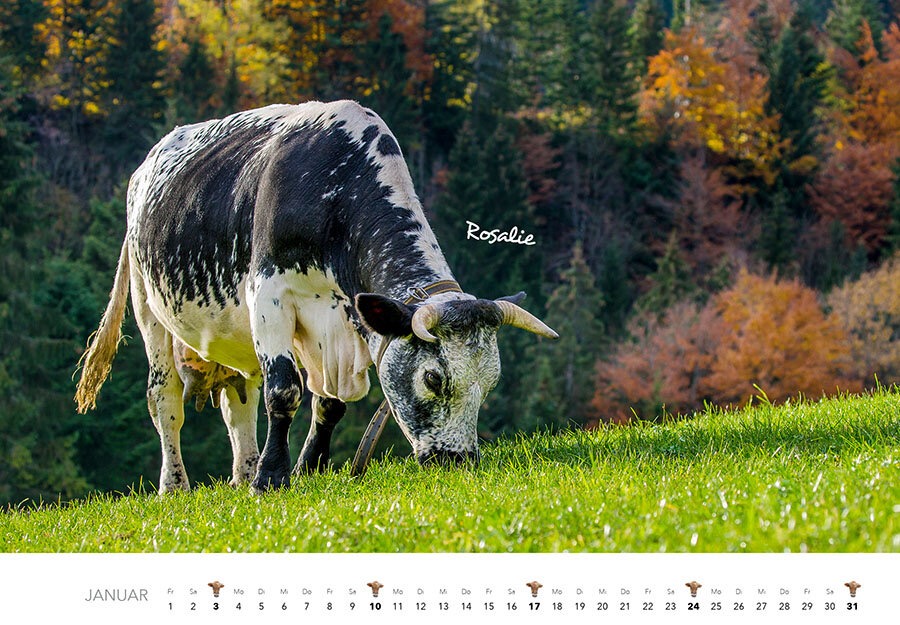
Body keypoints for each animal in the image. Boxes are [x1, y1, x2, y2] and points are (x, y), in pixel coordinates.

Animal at [75, 100, 558, 493]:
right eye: (433, 379)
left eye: (490, 383)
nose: (457, 462)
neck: (333, 190)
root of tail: (148, 164)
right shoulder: (269, 296)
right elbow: (284, 390)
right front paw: (272, 478)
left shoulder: (347, 322)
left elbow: (330, 401)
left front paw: (307, 468)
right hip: (148, 305)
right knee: (165, 400)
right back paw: (176, 485)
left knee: (239, 404)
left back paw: (242, 473)